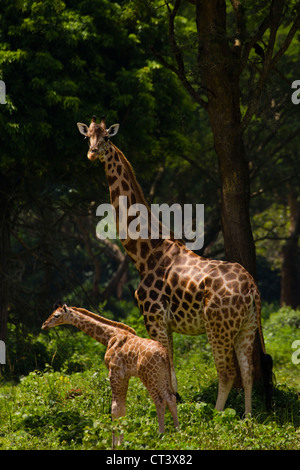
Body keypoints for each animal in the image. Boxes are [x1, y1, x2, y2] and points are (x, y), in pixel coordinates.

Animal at [41, 302, 178, 446]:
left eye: (56, 315)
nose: (44, 324)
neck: (109, 336)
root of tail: (164, 354)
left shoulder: (114, 372)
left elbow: (114, 408)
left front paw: (115, 445)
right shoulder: (125, 375)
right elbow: (122, 408)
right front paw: (120, 442)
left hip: (148, 375)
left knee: (159, 401)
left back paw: (160, 435)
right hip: (161, 375)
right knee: (170, 398)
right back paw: (177, 433)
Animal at [77, 115, 272, 414]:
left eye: (107, 137)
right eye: (87, 136)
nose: (92, 153)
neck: (144, 253)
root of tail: (252, 290)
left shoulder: (154, 317)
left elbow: (164, 370)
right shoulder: (165, 324)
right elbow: (173, 375)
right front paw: (176, 404)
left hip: (218, 326)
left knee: (227, 372)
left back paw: (217, 418)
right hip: (247, 325)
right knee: (248, 370)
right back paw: (247, 418)